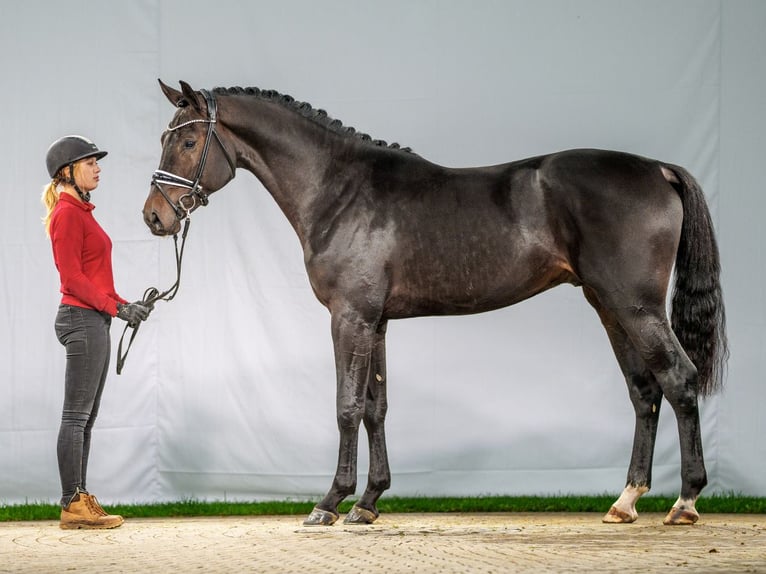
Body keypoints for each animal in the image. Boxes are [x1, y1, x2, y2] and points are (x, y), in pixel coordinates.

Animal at [146, 79, 732, 528]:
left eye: (188, 140)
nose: (154, 216)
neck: (341, 190)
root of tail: (658, 168)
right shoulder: (376, 322)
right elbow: (376, 409)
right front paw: (368, 503)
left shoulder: (349, 318)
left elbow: (346, 407)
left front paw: (329, 503)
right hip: (609, 307)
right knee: (644, 392)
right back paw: (626, 501)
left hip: (636, 307)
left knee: (679, 380)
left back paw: (685, 502)